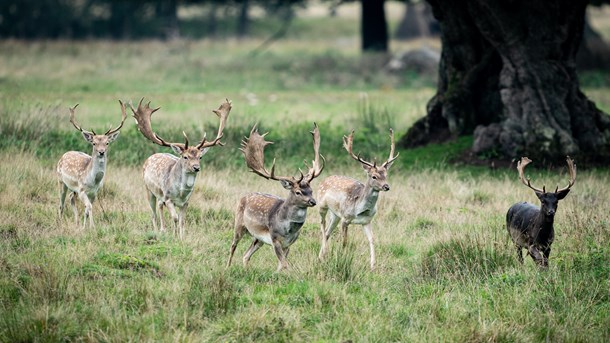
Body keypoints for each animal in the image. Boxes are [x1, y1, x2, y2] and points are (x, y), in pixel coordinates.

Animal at [131, 99, 230, 239]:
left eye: (200, 157)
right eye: (185, 156)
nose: (196, 167)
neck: (181, 193)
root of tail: (150, 156)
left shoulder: (186, 202)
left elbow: (182, 221)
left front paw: (182, 238)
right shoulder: (168, 198)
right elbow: (175, 218)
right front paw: (174, 236)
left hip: (160, 195)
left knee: (159, 206)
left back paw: (163, 229)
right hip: (148, 190)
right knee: (153, 214)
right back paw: (158, 231)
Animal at [226, 123, 324, 272]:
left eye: (311, 190)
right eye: (298, 192)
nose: (313, 201)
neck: (289, 230)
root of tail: (244, 196)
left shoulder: (289, 243)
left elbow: (282, 264)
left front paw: (277, 274)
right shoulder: (274, 238)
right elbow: (284, 264)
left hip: (258, 239)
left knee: (246, 254)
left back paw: (246, 270)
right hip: (239, 223)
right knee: (233, 246)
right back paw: (227, 267)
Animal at [314, 129, 400, 272]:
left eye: (386, 175)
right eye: (374, 176)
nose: (386, 186)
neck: (360, 209)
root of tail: (324, 179)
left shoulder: (367, 221)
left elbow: (372, 239)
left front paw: (373, 266)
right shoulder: (345, 218)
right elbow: (345, 242)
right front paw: (342, 260)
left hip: (335, 215)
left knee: (327, 233)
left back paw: (321, 257)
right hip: (321, 206)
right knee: (322, 227)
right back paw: (324, 254)